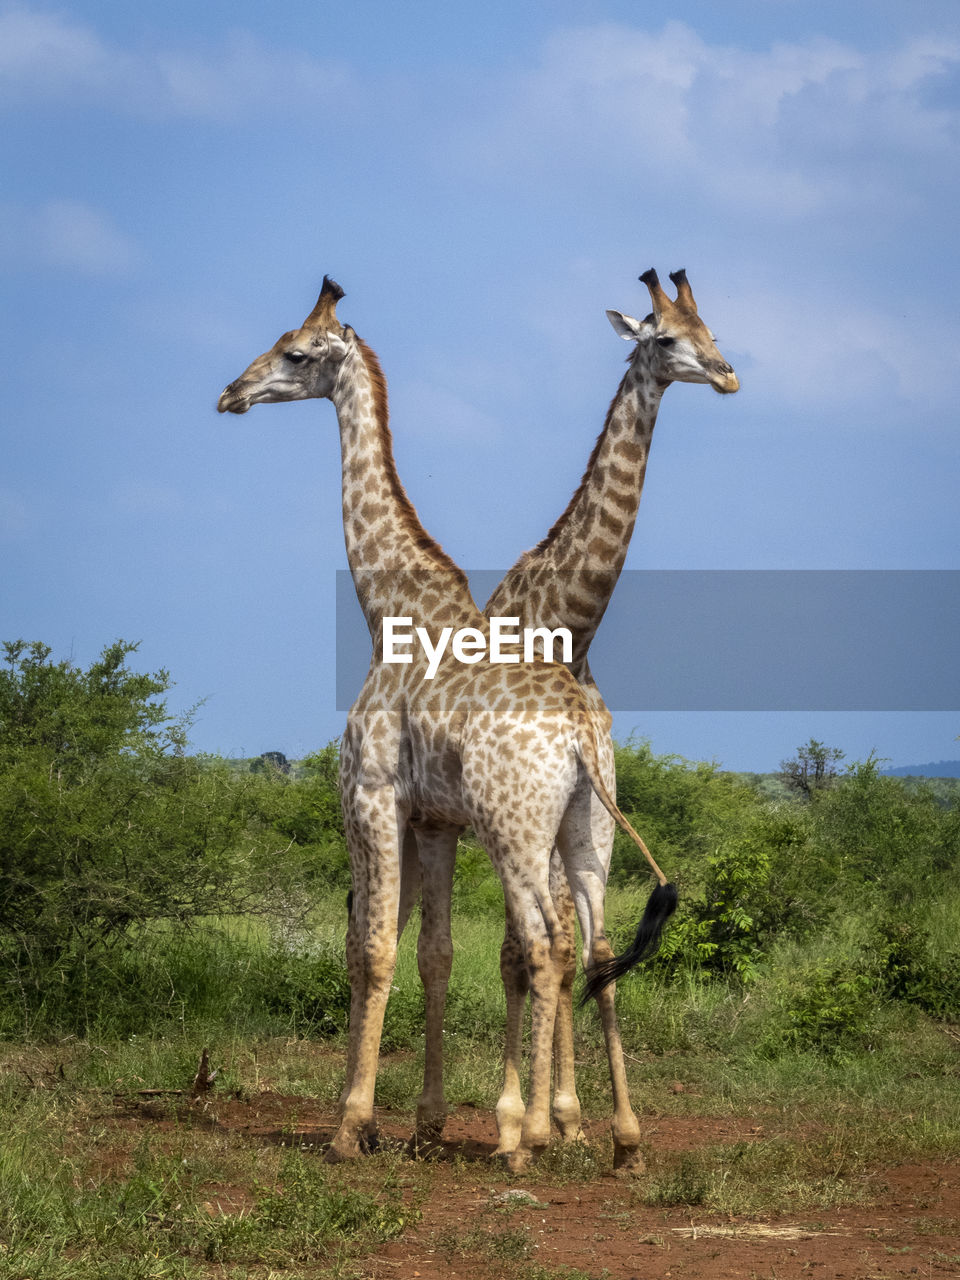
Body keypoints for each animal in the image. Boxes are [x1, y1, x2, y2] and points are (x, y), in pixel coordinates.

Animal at [217, 277, 675, 1172]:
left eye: (295, 352)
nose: (230, 394)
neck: (388, 609)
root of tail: (580, 728)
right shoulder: (433, 819)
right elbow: (431, 952)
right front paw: (417, 1121)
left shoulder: (371, 795)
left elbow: (373, 948)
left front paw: (352, 1126)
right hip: (587, 827)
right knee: (596, 947)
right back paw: (624, 1138)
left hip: (516, 827)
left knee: (541, 943)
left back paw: (526, 1135)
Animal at [409, 267, 742, 1162]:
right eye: (667, 338)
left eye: (716, 329)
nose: (728, 375)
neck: (568, 623)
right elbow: (523, 955)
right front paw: (535, 1117)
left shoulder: (576, 809)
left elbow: (573, 951)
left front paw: (570, 1117)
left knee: (559, 945)